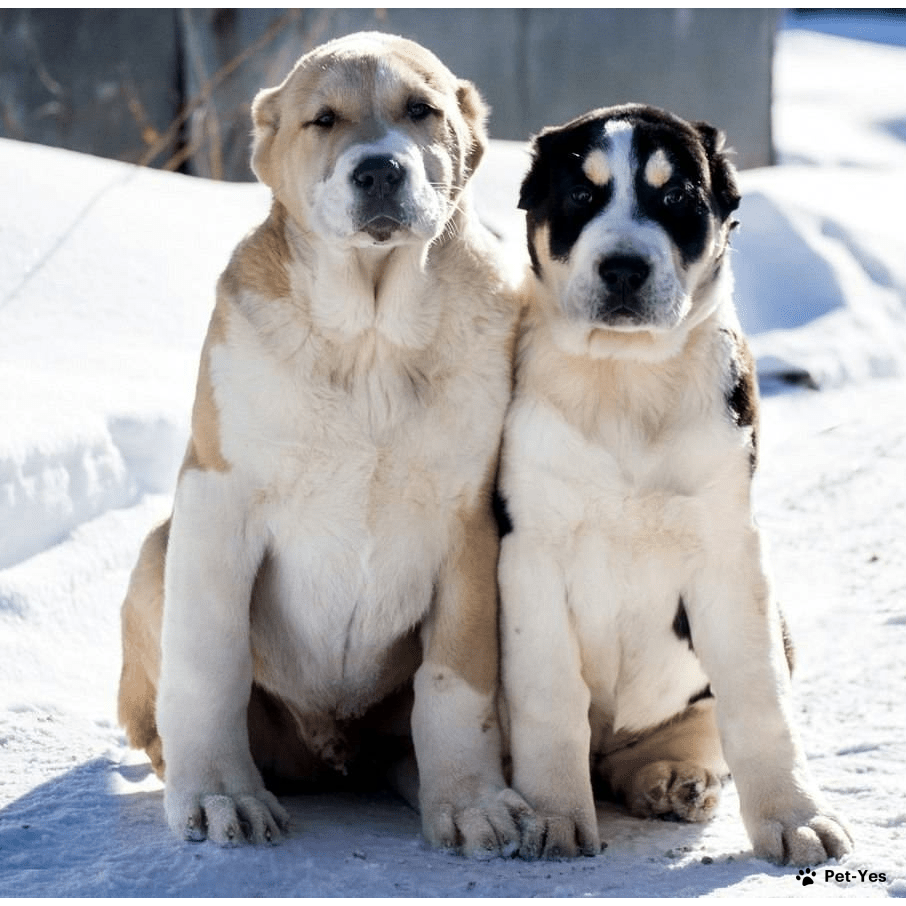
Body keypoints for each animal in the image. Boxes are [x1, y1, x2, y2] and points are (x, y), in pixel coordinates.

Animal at [119, 33, 528, 856]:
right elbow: (208, 661)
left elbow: (455, 681)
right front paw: (218, 796)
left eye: (420, 111)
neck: (370, 338)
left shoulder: (469, 524)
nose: (379, 170)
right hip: (156, 552)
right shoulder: (217, 499)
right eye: (324, 120)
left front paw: (471, 802)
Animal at [498, 104, 852, 860]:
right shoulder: (531, 551)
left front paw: (796, 819)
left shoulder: (729, 549)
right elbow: (549, 694)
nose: (625, 268)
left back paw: (671, 779)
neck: (627, 379)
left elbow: (758, 697)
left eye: (678, 199)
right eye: (580, 194)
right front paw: (552, 815)